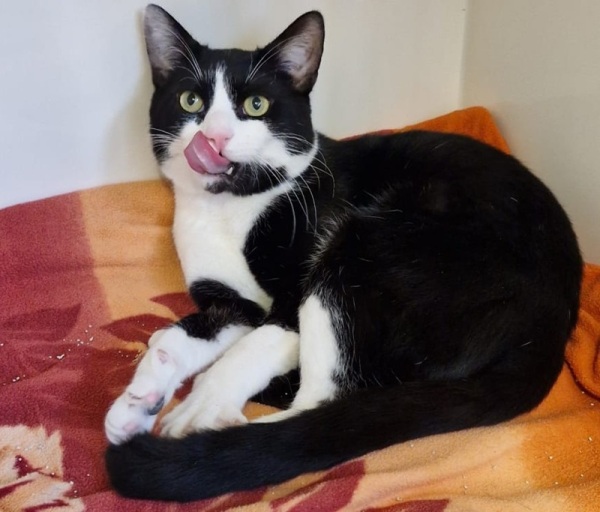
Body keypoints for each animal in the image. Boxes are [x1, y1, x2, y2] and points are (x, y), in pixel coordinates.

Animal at [104, 4, 583, 502]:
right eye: (190, 102)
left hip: (369, 249)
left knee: (321, 404)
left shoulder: (292, 297)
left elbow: (248, 350)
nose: (214, 137)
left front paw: (198, 406)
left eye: (256, 106)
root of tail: (553, 325)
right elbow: (181, 335)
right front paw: (139, 398)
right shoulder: (232, 304)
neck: (230, 209)